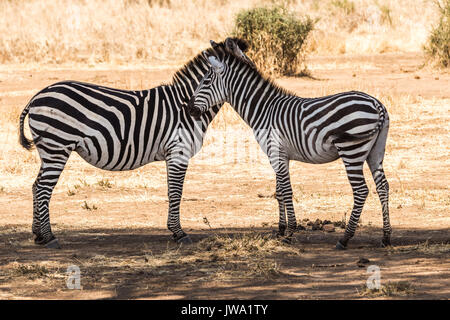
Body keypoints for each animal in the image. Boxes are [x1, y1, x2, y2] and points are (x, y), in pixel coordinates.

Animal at [19, 37, 255, 248]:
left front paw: (174, 230)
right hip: (57, 147)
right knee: (43, 188)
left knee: (35, 185)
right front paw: (179, 233)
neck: (184, 105)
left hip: (48, 150)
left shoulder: (172, 154)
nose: (257, 83)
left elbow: (172, 191)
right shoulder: (178, 151)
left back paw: (38, 235)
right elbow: (176, 192)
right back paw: (49, 238)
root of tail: (36, 97)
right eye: (246, 63)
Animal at [186, 38, 390, 249]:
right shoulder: (278, 155)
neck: (264, 109)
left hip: (351, 150)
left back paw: (345, 238)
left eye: (206, 81)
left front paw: (290, 231)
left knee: (361, 190)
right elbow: (279, 192)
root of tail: (377, 105)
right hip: (375, 151)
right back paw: (386, 237)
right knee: (383, 186)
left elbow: (287, 190)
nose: (189, 109)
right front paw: (280, 229)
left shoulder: (276, 152)